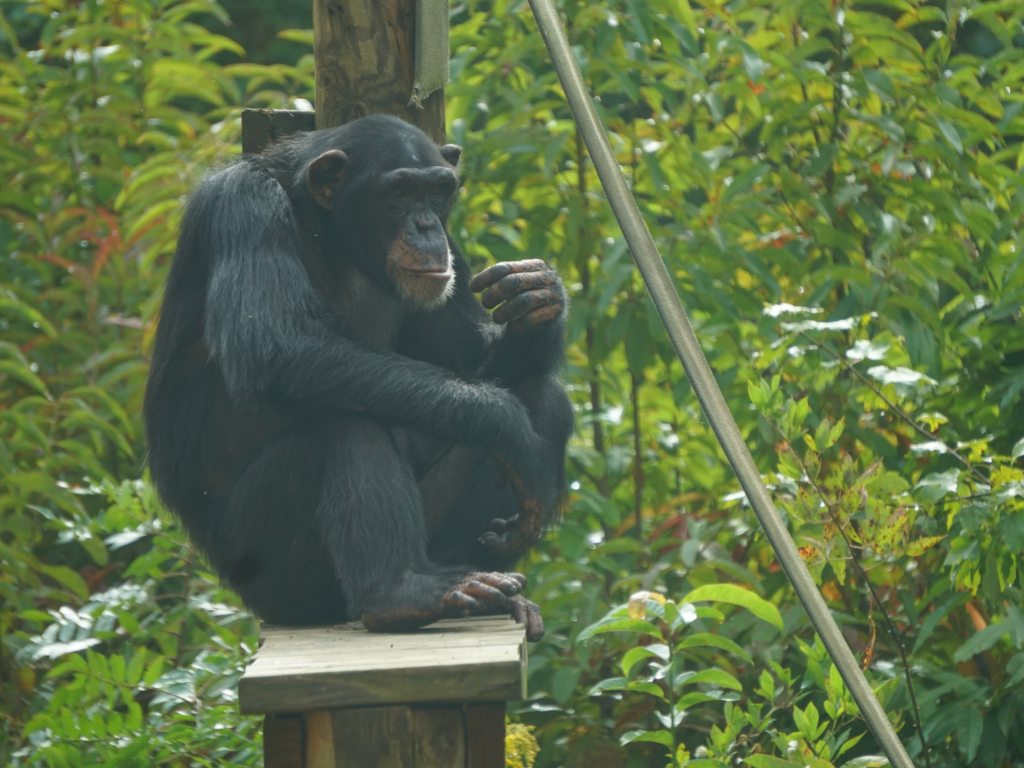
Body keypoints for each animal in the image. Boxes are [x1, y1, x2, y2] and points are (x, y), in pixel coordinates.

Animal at [143, 115, 573, 643]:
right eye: (400, 193)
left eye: (438, 192)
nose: (426, 226)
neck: (325, 229)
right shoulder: (242, 206)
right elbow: (277, 344)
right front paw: (504, 424)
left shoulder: (448, 258)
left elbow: (469, 360)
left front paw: (539, 297)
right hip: (272, 572)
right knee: (344, 426)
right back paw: (403, 595)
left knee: (545, 399)